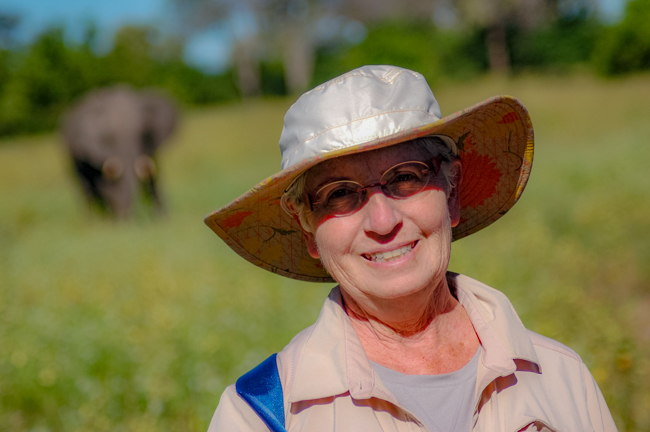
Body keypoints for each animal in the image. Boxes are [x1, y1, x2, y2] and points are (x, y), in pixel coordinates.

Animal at [62, 85, 178, 219]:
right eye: (109, 136)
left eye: (142, 133)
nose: (128, 218)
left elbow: (153, 177)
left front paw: (163, 219)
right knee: (84, 185)